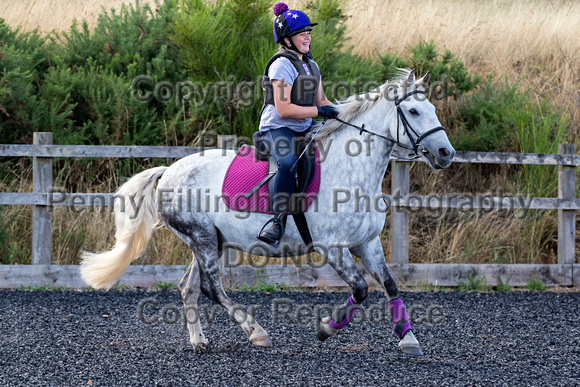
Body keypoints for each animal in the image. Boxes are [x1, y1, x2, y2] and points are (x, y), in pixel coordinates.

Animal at [80, 68, 454, 356]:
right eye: (415, 112)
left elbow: (390, 285)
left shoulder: (368, 243)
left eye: (433, 108)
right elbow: (361, 289)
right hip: (202, 238)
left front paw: (409, 339)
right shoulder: (332, 247)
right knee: (211, 287)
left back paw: (199, 341)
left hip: (210, 241)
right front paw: (325, 329)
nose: (446, 153)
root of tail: (168, 172)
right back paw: (256, 332)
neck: (352, 170)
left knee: (189, 287)